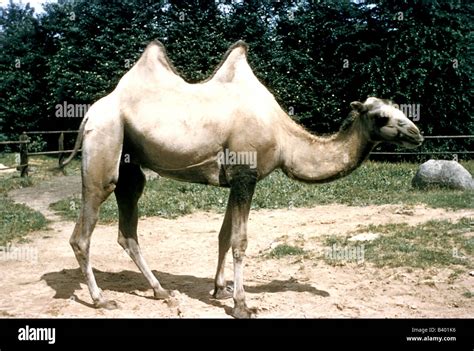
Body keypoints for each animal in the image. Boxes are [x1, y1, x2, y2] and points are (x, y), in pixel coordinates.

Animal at [62, 40, 422, 320]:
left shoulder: (236, 180)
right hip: (105, 141)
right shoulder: (245, 176)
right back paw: (101, 299)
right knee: (84, 230)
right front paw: (241, 304)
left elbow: (224, 236)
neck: (284, 139)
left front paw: (220, 290)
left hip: (129, 164)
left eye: (398, 108)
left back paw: (161, 291)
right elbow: (240, 240)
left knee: (128, 230)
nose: (417, 133)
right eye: (383, 117)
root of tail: (89, 113)